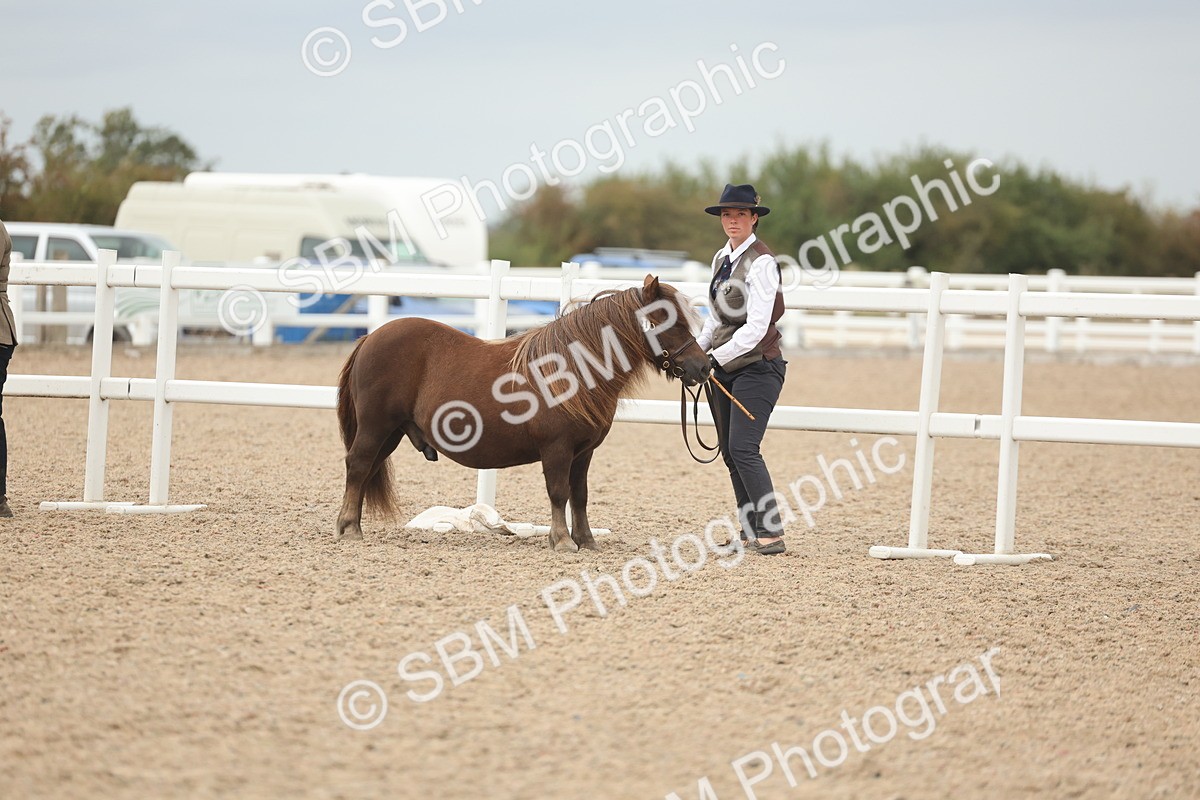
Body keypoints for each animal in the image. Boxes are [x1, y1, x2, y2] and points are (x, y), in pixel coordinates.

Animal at [335, 275, 711, 551]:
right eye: (668, 322)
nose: (703, 367)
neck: (572, 370)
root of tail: (370, 338)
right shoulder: (557, 449)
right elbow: (559, 493)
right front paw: (562, 540)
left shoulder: (583, 453)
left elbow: (580, 496)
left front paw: (586, 540)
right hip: (376, 427)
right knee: (358, 465)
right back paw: (349, 528)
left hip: (391, 432)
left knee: (366, 470)